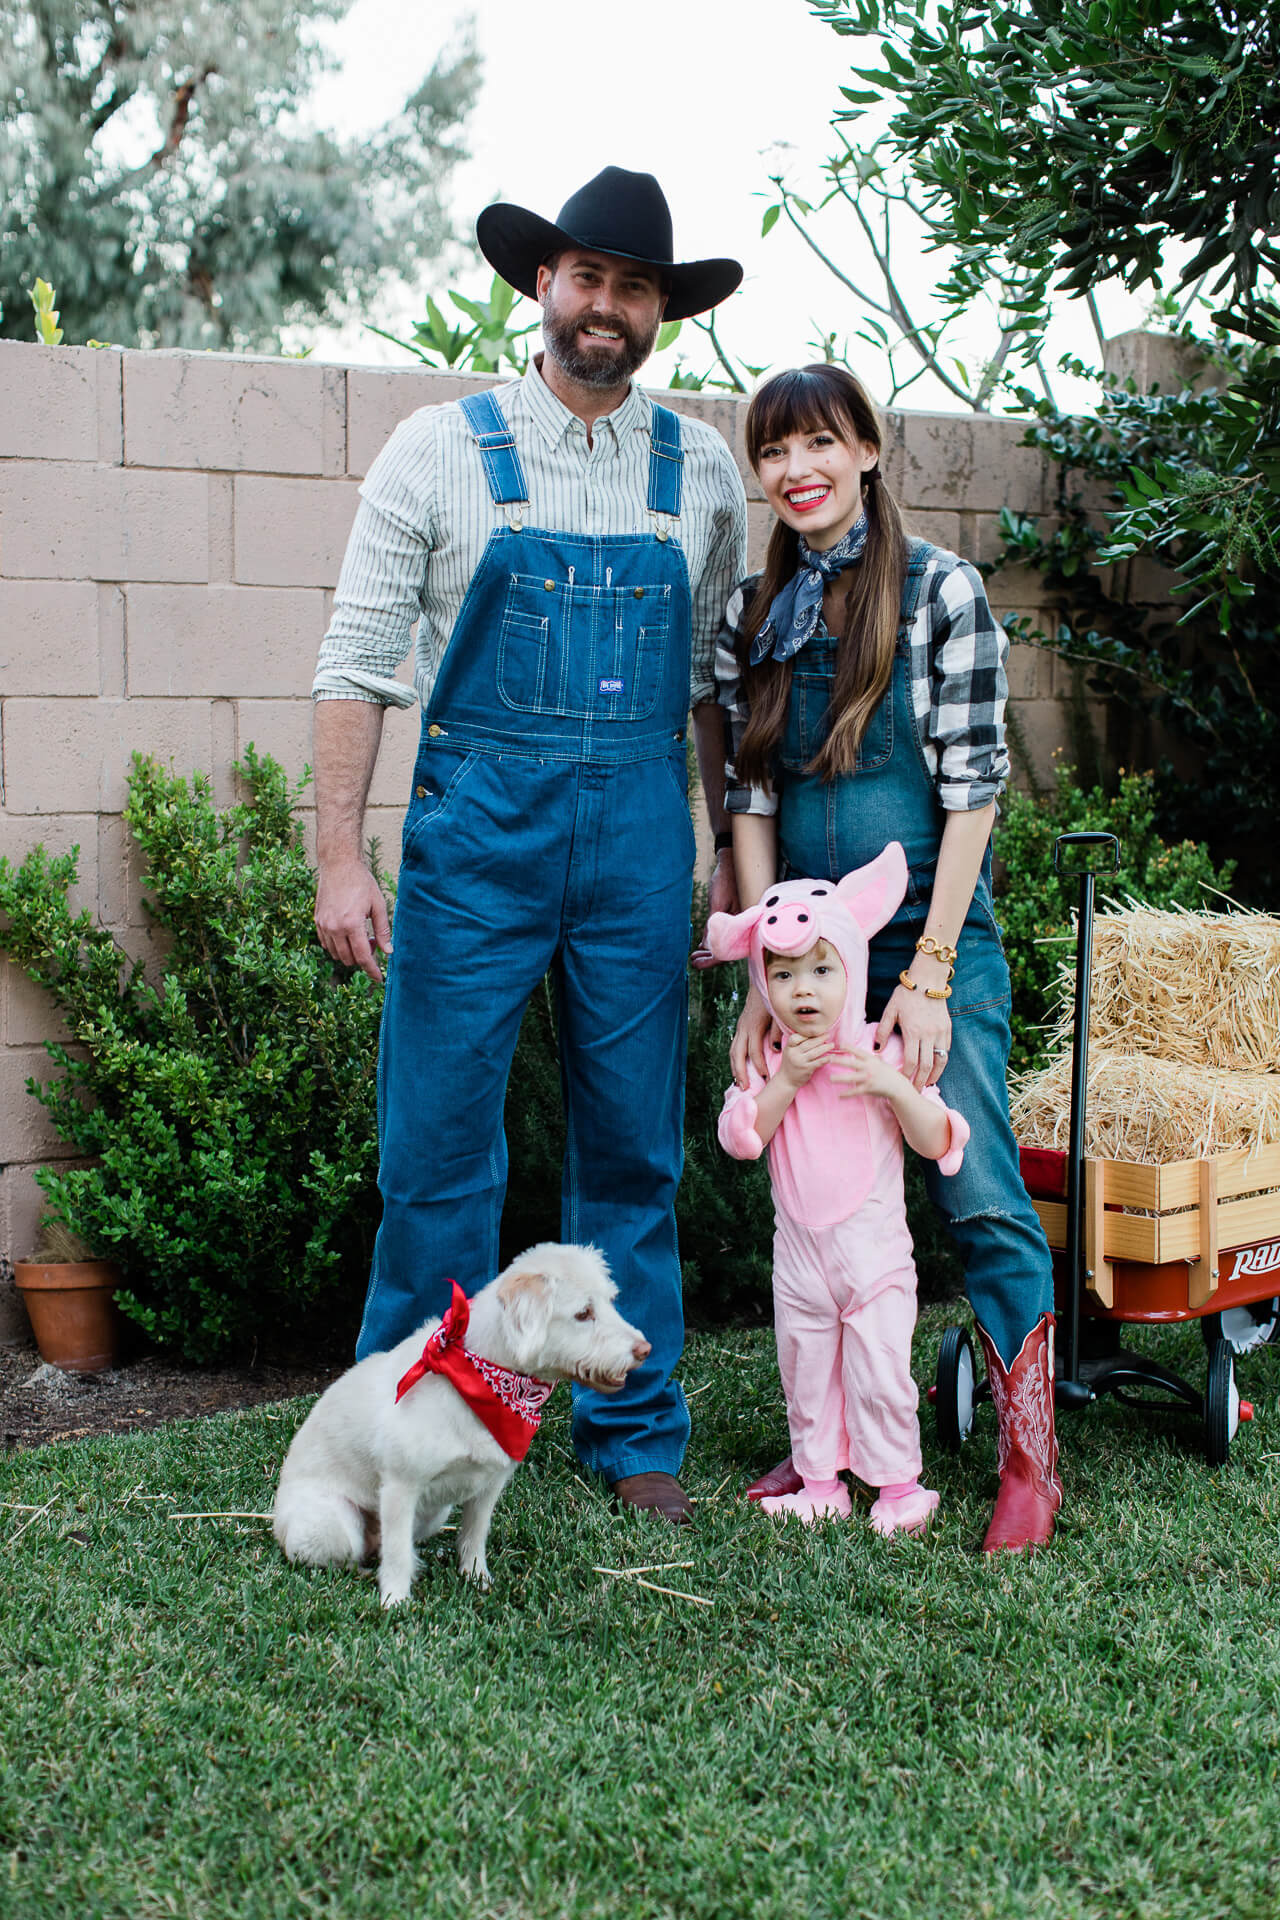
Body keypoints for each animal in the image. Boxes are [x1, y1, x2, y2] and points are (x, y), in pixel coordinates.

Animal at [274, 1244, 644, 1605]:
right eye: (583, 1313)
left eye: (611, 1301)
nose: (645, 1349)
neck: (480, 1379)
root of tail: (277, 1524)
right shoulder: (400, 1487)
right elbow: (396, 1552)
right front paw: (394, 1599)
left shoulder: (488, 1486)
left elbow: (473, 1535)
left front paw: (476, 1577)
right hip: (334, 1524)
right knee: (348, 1555)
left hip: (432, 1514)